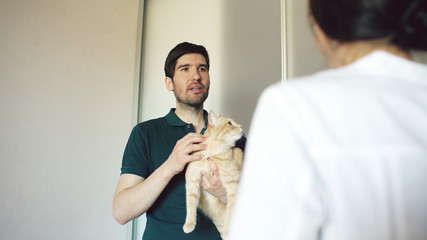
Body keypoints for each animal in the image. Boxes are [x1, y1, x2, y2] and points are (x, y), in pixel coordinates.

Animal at [183, 110, 244, 238]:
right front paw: (189, 224)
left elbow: (230, 214)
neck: (212, 154)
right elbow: (190, 204)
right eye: (229, 123)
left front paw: (228, 231)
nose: (241, 126)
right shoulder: (192, 180)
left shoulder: (233, 187)